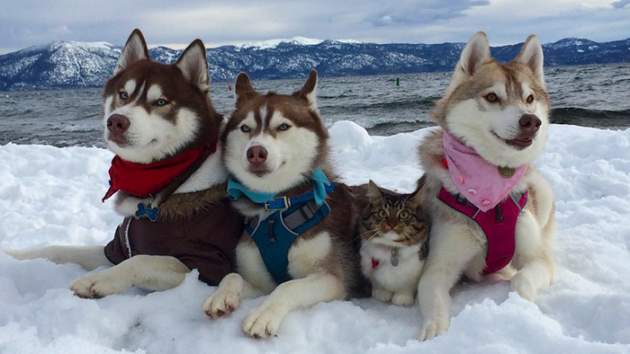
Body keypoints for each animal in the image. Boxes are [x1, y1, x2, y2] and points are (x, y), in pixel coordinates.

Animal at [7, 29, 244, 298]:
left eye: (161, 102)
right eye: (123, 95)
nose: (116, 122)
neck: (174, 178)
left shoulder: (207, 265)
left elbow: (143, 260)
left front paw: (97, 280)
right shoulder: (116, 248)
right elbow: (59, 249)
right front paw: (15, 255)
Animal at [205, 71, 362, 338]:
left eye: (283, 126)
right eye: (245, 128)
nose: (255, 152)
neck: (276, 207)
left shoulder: (334, 277)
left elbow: (289, 286)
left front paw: (263, 314)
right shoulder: (261, 282)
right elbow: (233, 275)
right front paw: (221, 295)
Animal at [360, 178, 430, 306]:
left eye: (404, 214)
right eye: (382, 213)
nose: (392, 224)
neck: (390, 249)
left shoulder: (415, 269)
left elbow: (407, 286)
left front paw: (402, 299)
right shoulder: (368, 266)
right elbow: (379, 285)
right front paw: (382, 294)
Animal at [418, 33, 556, 340]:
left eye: (530, 98)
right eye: (492, 97)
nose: (531, 121)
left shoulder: (538, 258)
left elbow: (523, 280)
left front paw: (521, 305)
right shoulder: (438, 266)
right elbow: (433, 295)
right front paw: (434, 328)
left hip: (542, 192)